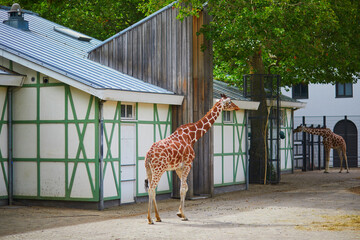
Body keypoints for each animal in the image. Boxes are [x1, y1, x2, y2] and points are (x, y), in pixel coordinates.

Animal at [143, 94, 239, 225]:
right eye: (229, 102)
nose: (237, 107)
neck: (192, 136)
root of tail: (149, 155)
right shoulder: (188, 163)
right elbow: (183, 188)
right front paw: (183, 215)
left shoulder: (178, 167)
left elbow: (186, 186)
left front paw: (179, 212)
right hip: (159, 169)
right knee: (152, 188)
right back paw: (150, 219)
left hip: (149, 169)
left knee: (151, 189)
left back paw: (158, 217)